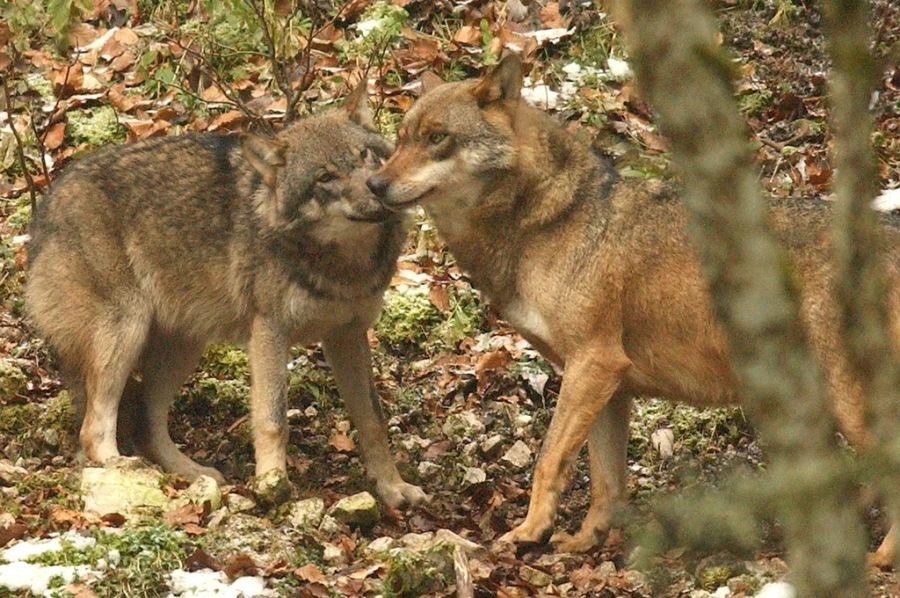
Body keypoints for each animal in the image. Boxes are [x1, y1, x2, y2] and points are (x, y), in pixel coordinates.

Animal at [24, 82, 426, 508]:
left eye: (366, 156)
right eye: (325, 177)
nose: (376, 192)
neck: (344, 263)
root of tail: (43, 210)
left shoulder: (347, 335)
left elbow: (373, 420)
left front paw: (393, 487)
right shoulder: (269, 332)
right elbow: (273, 420)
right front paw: (272, 486)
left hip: (181, 351)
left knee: (149, 427)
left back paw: (190, 474)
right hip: (126, 333)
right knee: (94, 429)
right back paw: (124, 470)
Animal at [368, 54, 900, 564]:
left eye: (437, 138)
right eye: (401, 139)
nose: (374, 184)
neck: (545, 221)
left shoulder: (593, 363)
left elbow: (548, 459)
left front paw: (529, 532)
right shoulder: (608, 384)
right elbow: (606, 481)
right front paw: (584, 542)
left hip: (846, 401)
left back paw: (881, 557)